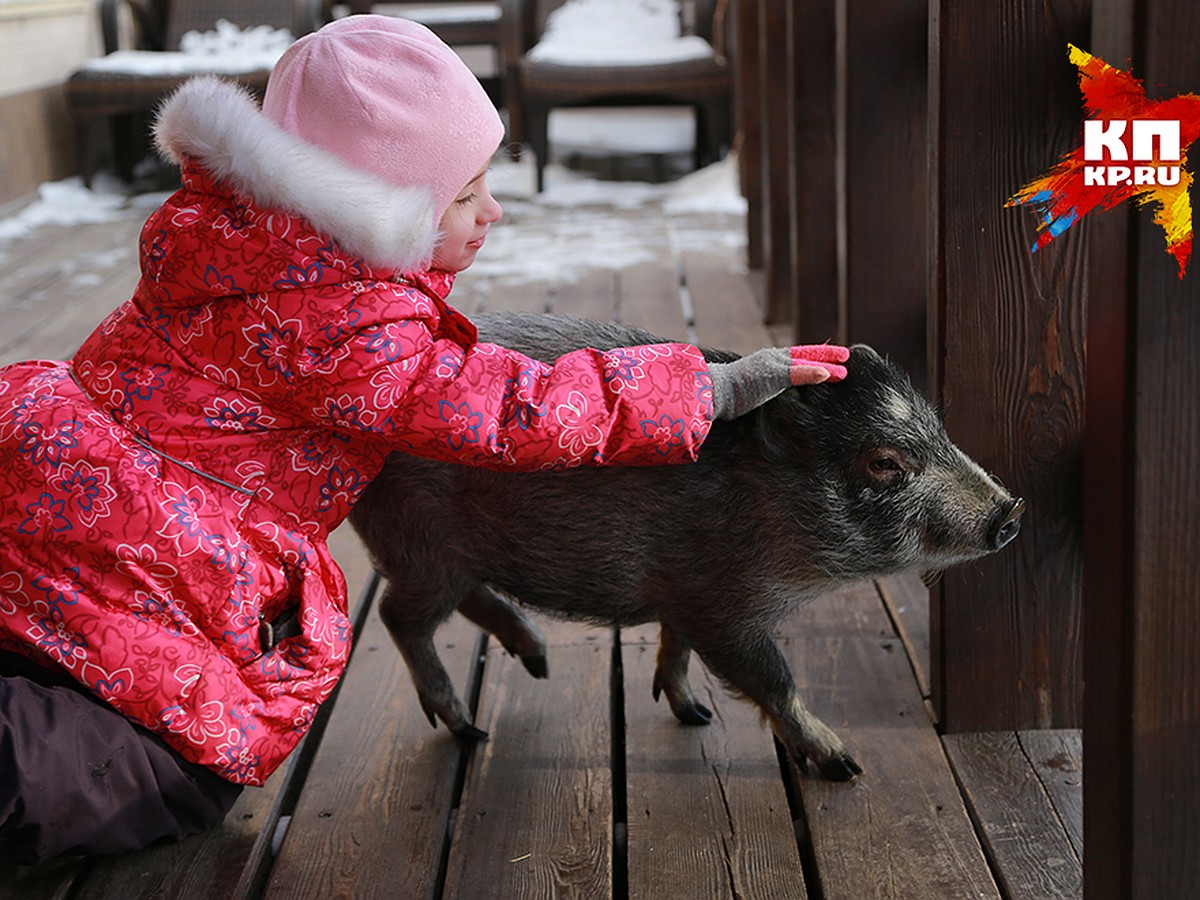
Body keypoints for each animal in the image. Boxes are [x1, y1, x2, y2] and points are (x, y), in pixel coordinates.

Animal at [350, 314, 1027, 777]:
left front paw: (692, 713)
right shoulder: (722, 608)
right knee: (397, 615)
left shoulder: (684, 597)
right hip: (420, 545)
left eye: (939, 430)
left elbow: (675, 646)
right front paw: (844, 765)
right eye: (885, 462)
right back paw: (470, 731)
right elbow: (771, 675)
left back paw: (537, 661)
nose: (1011, 512)